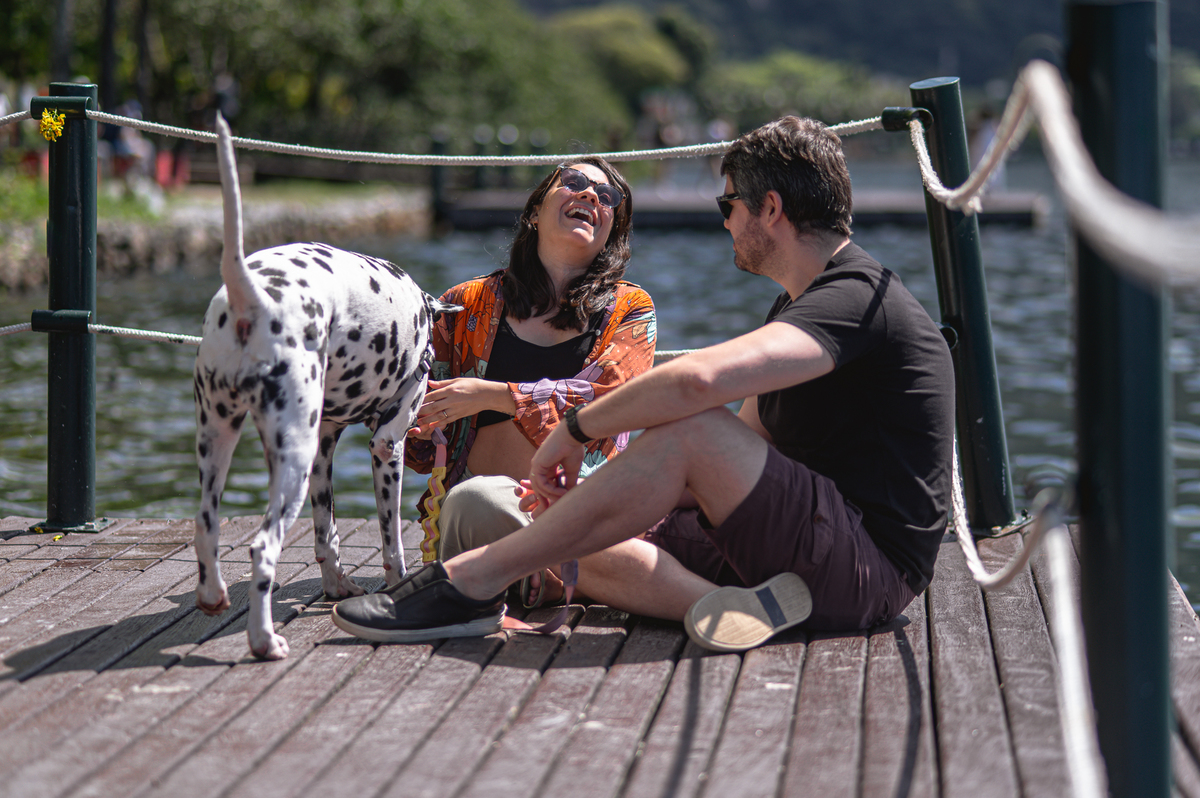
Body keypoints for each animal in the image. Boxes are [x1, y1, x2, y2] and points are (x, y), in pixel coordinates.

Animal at [192, 113, 459, 660]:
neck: (423, 311)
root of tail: (251, 296)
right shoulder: (386, 446)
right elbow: (391, 542)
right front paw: (397, 585)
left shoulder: (324, 449)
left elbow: (326, 534)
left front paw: (337, 586)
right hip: (289, 462)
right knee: (262, 548)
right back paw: (264, 640)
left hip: (221, 443)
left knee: (204, 529)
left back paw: (213, 598)